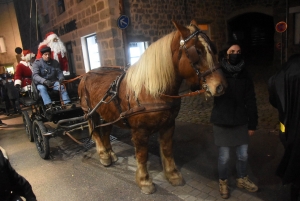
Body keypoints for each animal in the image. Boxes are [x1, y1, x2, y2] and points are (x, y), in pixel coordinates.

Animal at [78, 19, 226, 194]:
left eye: (213, 48)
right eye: (197, 51)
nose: (220, 86)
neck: (151, 90)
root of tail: (86, 74)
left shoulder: (169, 125)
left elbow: (167, 149)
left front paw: (173, 175)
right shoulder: (140, 131)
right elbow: (142, 155)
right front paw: (144, 181)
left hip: (107, 113)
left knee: (106, 132)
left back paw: (110, 153)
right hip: (90, 112)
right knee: (95, 132)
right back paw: (103, 155)